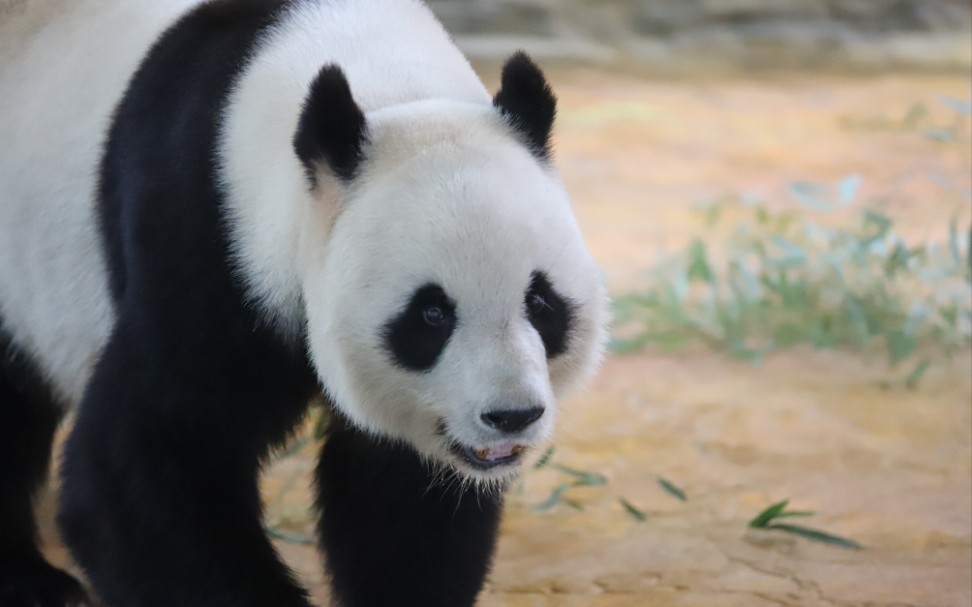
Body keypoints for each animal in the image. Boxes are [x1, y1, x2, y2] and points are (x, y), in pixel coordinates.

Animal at [0, 1, 608, 607]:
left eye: (541, 302)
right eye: (432, 314)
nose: (512, 416)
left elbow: (403, 497)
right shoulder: (206, 240)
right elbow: (149, 453)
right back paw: (33, 582)